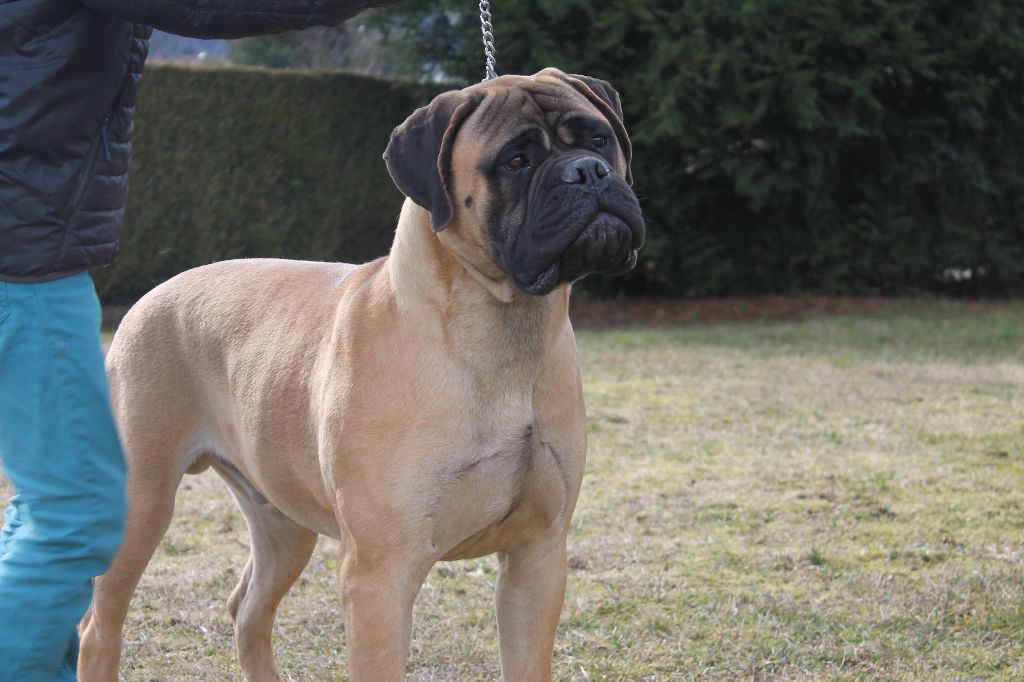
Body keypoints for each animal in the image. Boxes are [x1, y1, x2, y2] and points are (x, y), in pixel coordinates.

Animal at [79, 67, 645, 681]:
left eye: (598, 139)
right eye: (515, 161)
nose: (588, 172)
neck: (500, 328)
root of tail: (149, 295)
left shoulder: (536, 558)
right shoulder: (381, 574)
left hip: (282, 519)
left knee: (247, 609)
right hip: (141, 503)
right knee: (98, 625)